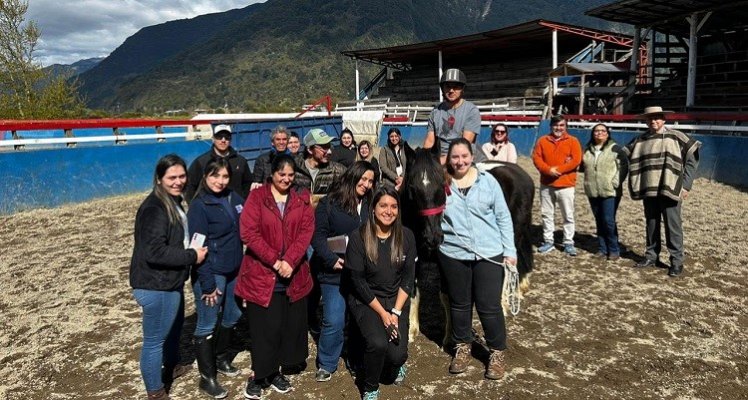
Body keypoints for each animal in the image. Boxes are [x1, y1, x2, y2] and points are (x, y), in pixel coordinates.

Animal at [400, 145, 536, 346]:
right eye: (412, 188)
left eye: (442, 184)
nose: (433, 238)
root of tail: (520, 173)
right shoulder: (415, 258)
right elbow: (413, 292)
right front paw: (411, 332)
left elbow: (447, 296)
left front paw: (449, 337)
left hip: (513, 234)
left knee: (508, 265)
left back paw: (503, 303)